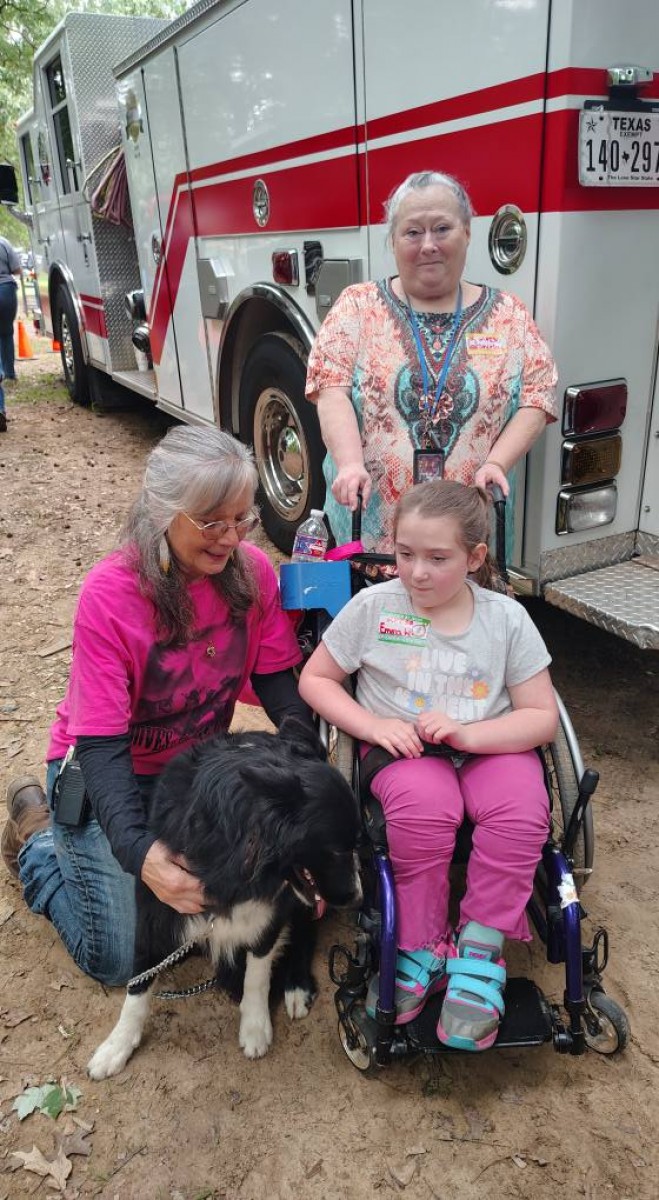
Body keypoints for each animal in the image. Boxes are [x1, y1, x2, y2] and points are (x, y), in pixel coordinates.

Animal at [87, 718, 361, 1078]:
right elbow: (138, 984)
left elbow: (257, 974)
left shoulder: (269, 914)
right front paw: (117, 1045)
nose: (357, 896)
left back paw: (297, 986)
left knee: (304, 934)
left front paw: (255, 1027)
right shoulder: (153, 908)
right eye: (336, 850)